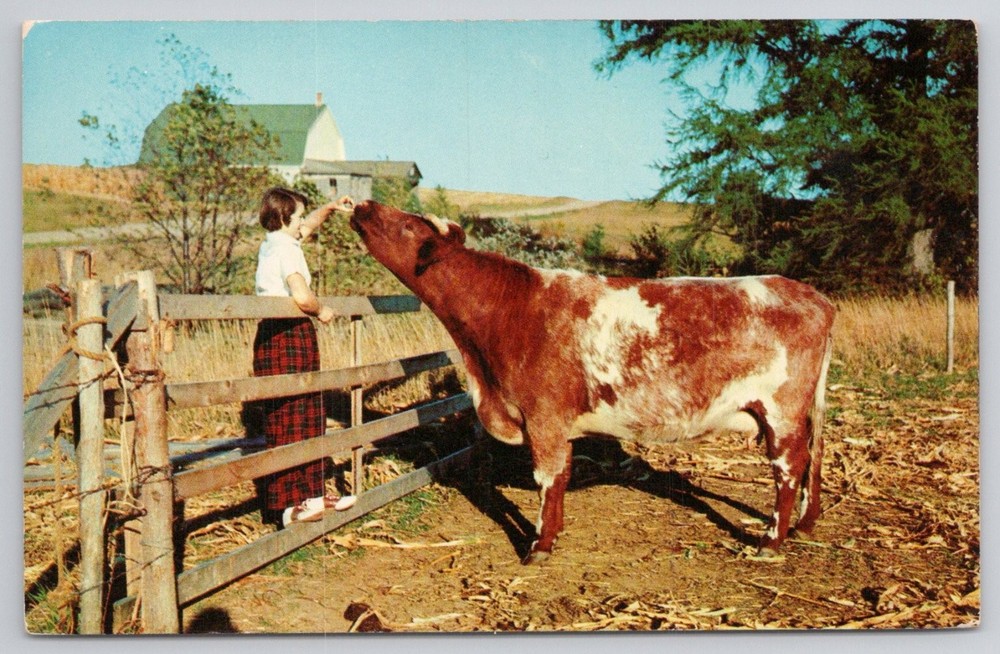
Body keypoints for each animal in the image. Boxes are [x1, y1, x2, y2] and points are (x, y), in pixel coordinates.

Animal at [346, 200, 835, 564]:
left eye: (407, 225)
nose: (362, 204)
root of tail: (814, 296)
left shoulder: (543, 416)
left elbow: (547, 477)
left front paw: (538, 546)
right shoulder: (553, 423)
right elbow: (561, 475)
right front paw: (554, 533)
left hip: (782, 410)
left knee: (789, 468)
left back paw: (770, 541)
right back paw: (800, 526)